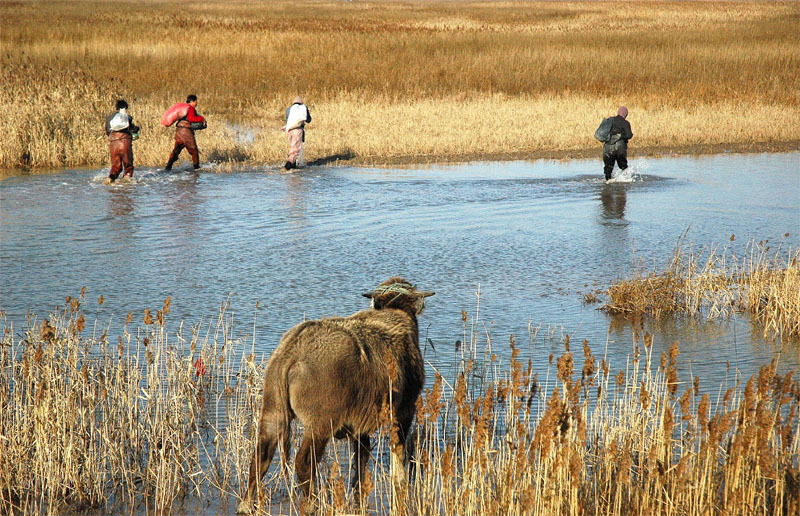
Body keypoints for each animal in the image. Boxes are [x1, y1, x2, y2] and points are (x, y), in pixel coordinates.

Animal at [238, 278, 434, 512]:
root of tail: (291, 352)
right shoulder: (404, 411)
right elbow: (397, 454)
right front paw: (400, 482)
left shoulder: (360, 423)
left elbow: (361, 456)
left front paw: (358, 488)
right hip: (320, 423)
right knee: (304, 462)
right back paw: (312, 503)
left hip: (273, 411)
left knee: (260, 456)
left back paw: (246, 504)